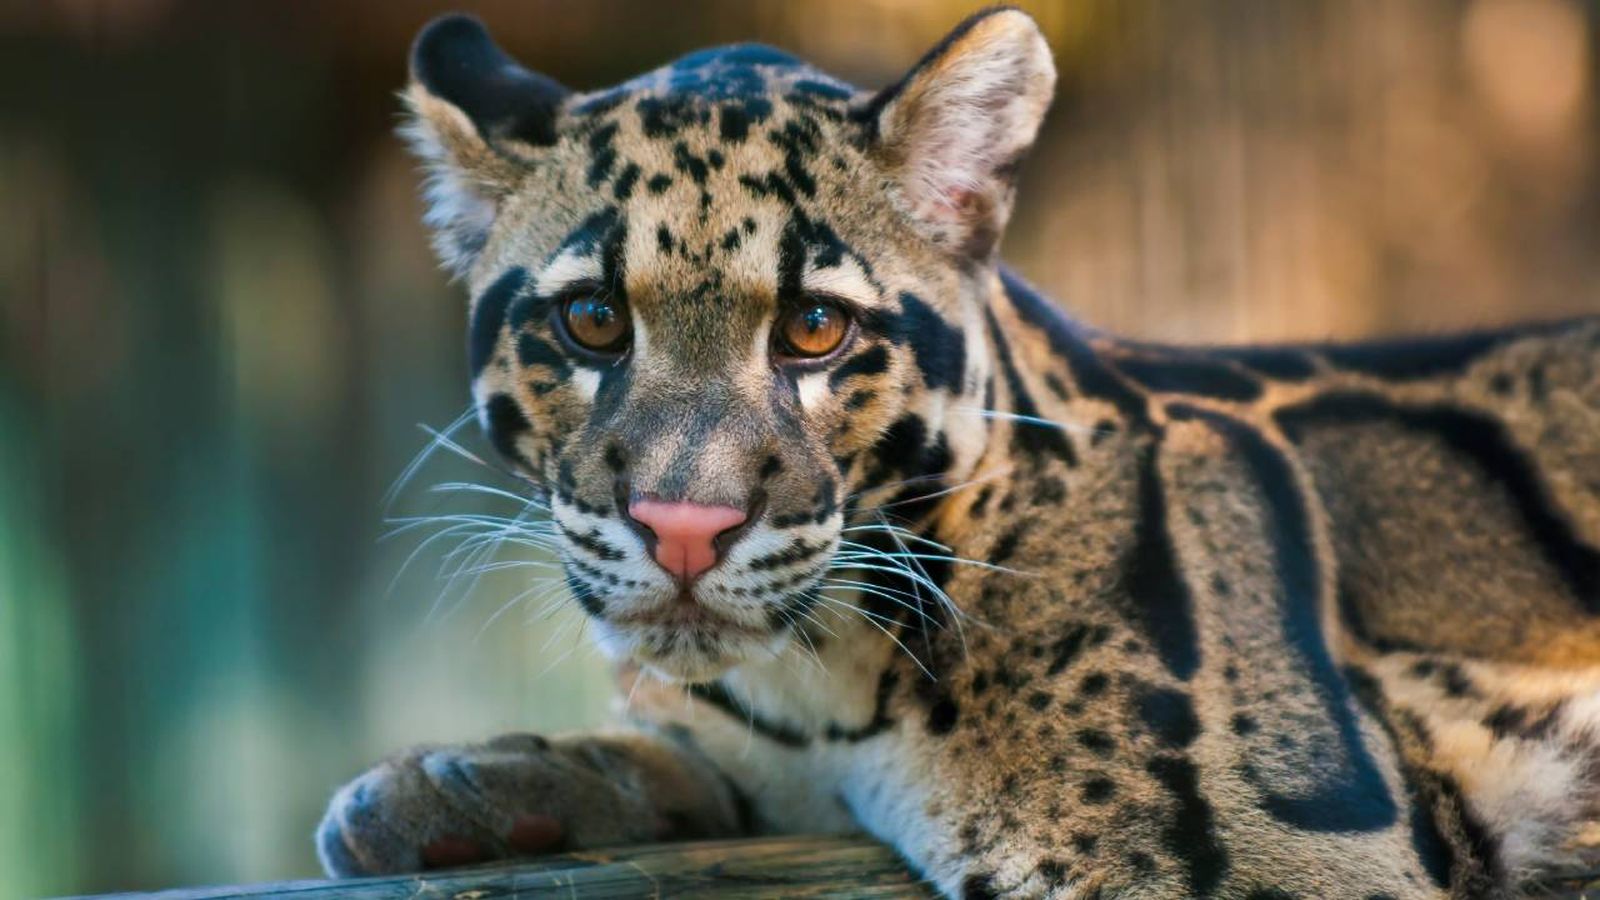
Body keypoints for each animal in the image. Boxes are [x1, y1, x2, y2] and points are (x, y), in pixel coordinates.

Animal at [317, 9, 1600, 898]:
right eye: (590, 320)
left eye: (815, 329)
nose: (685, 527)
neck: (821, 689)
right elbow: (682, 750)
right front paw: (474, 779)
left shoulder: (1262, 857)